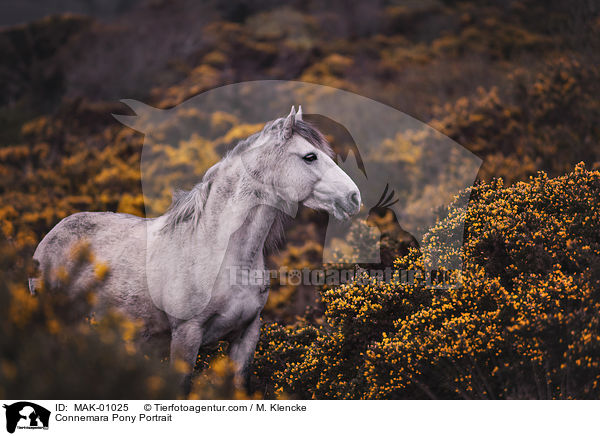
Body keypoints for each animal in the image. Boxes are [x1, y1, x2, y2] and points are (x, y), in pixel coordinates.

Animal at [30, 107, 360, 394]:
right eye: (309, 156)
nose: (354, 197)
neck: (216, 251)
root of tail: (53, 234)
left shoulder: (247, 334)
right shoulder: (186, 335)